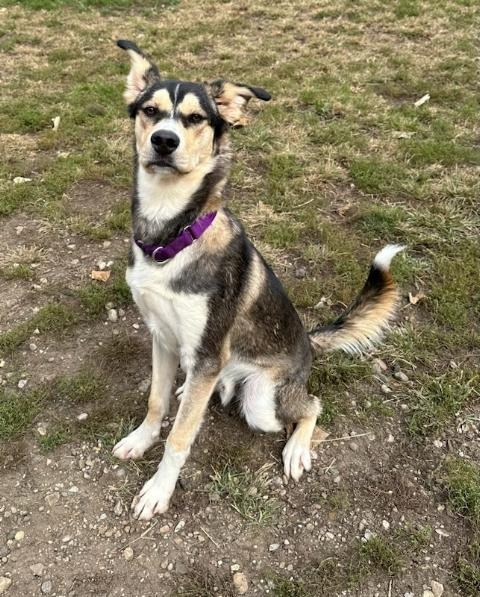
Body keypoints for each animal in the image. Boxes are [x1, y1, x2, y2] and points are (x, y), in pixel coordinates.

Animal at [110, 39, 404, 520]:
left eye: (195, 118)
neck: (171, 235)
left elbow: (179, 437)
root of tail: (308, 343)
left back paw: (297, 448)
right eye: (150, 111)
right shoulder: (163, 337)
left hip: (262, 401)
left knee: (311, 406)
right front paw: (140, 438)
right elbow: (155, 401)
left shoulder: (207, 349)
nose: (164, 141)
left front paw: (159, 490)